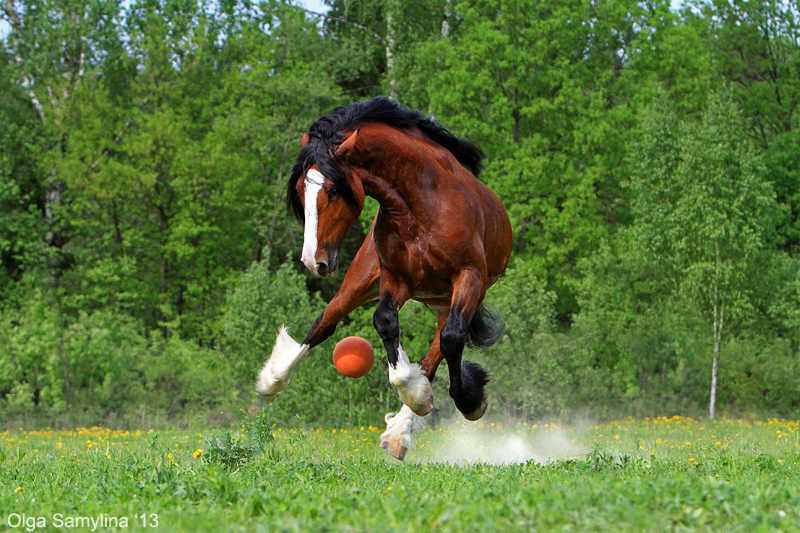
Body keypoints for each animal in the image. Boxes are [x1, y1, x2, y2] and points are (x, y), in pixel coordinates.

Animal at [260, 94, 516, 458]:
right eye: (300, 189)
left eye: (333, 191)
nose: (313, 261)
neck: (418, 205)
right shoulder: (395, 278)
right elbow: (384, 321)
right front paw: (412, 387)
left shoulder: (470, 277)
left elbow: (451, 340)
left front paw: (465, 400)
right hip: (363, 280)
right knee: (326, 320)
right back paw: (272, 379)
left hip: (449, 298)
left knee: (440, 346)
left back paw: (401, 430)